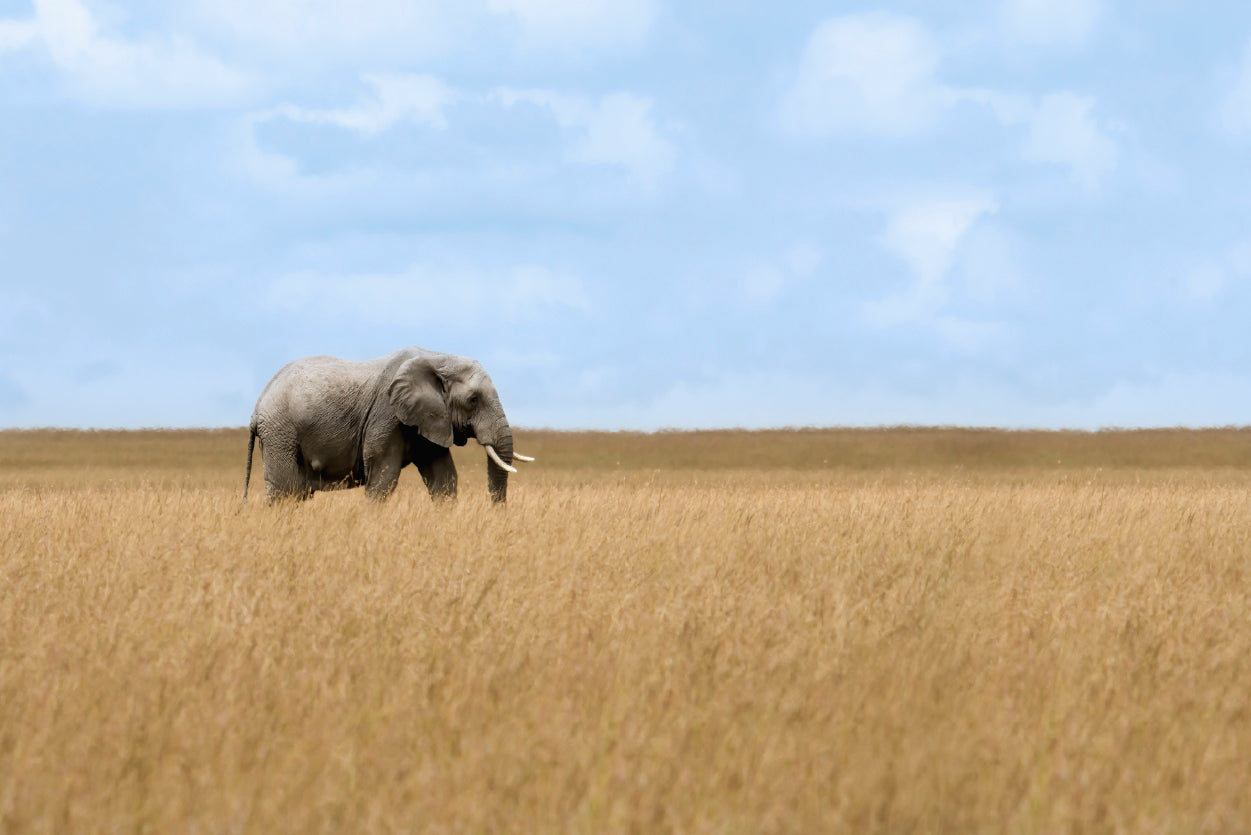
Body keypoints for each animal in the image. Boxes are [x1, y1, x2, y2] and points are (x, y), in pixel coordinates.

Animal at [242, 347, 532, 503]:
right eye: (473, 400)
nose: (499, 514)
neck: (438, 358)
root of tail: (256, 409)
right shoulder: (387, 415)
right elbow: (384, 476)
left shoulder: (430, 418)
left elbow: (444, 478)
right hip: (281, 432)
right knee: (285, 491)